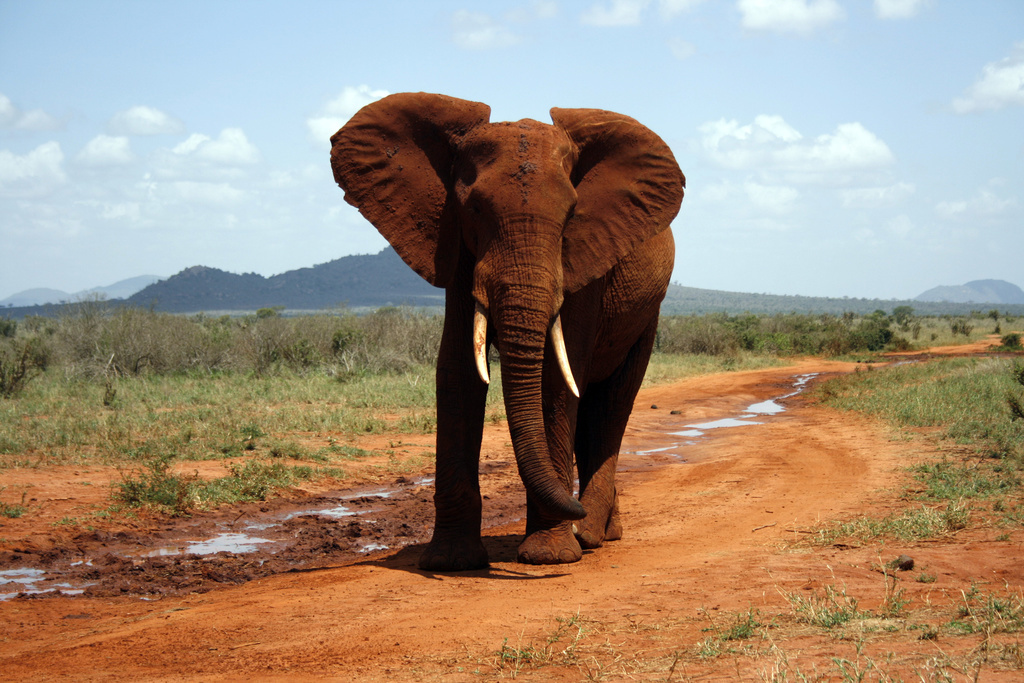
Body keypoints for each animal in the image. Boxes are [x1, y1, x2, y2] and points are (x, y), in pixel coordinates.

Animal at [331, 92, 684, 573]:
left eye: (571, 214)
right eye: (474, 209)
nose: (572, 512)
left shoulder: (583, 263)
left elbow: (555, 380)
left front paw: (549, 556)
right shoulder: (457, 248)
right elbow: (458, 371)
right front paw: (450, 562)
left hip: (649, 313)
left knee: (613, 403)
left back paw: (591, 534)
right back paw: (598, 528)